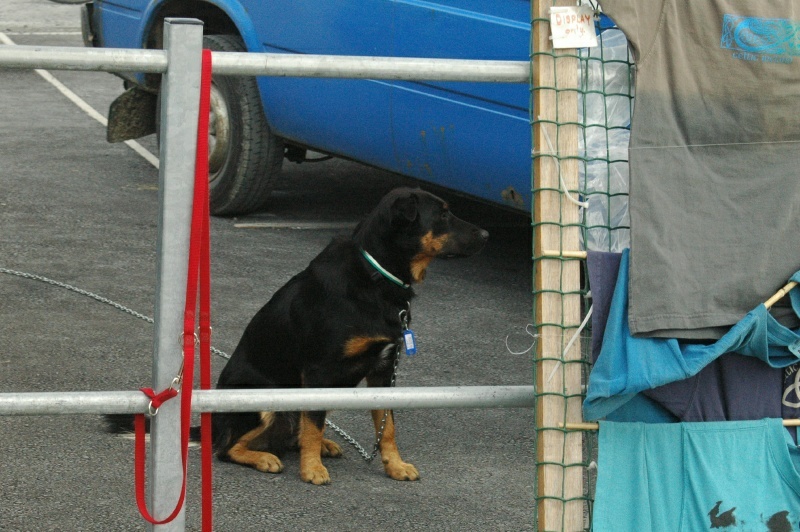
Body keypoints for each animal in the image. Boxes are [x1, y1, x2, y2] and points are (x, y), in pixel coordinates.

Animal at [212, 188, 488, 486]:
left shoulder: (384, 371)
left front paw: (396, 466)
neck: (377, 277)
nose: (487, 235)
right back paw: (264, 458)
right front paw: (312, 469)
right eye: (443, 214)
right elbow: (313, 425)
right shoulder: (319, 370)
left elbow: (387, 427)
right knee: (226, 448)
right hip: (264, 395)